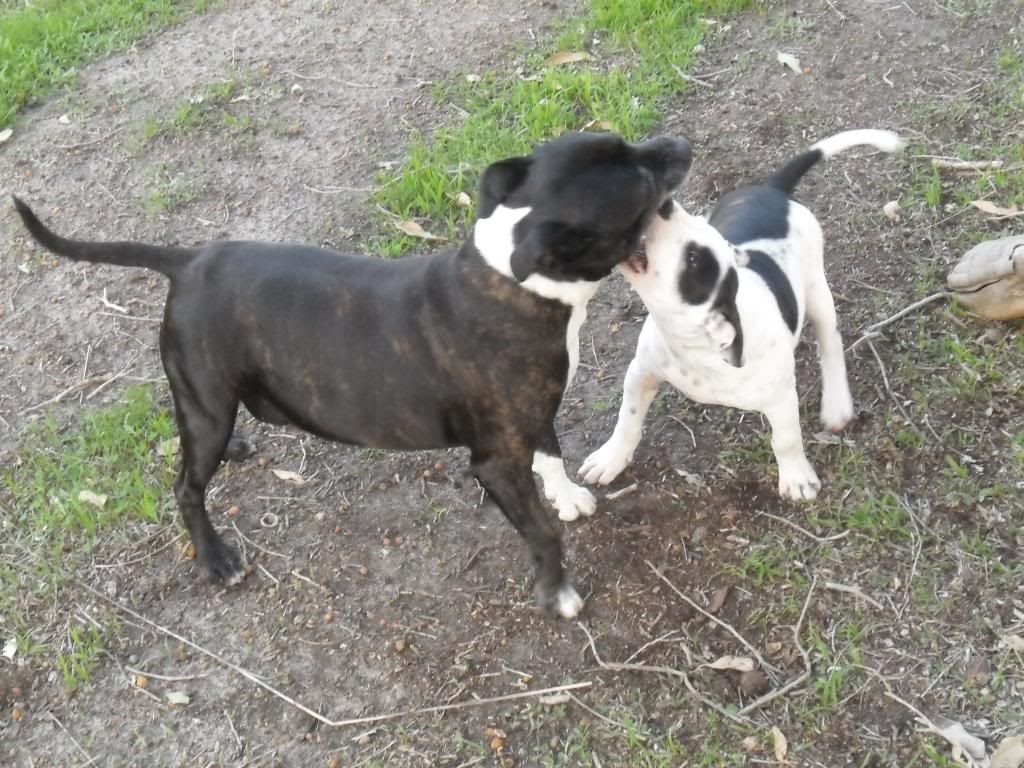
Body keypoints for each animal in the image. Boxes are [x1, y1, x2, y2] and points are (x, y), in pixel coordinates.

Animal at [12, 132, 692, 622]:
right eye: (639, 185)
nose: (680, 142)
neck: (515, 279)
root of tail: (187, 259)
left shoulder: (532, 410)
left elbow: (549, 453)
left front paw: (568, 495)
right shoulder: (495, 461)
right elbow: (542, 532)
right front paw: (558, 594)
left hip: (213, 400)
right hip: (203, 406)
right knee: (186, 486)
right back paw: (216, 557)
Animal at [581, 129, 909, 501]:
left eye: (694, 259)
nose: (664, 204)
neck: (693, 346)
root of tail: (774, 190)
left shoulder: (781, 398)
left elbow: (786, 440)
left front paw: (796, 477)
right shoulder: (641, 373)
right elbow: (627, 419)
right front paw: (610, 459)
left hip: (817, 291)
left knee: (831, 342)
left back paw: (836, 403)